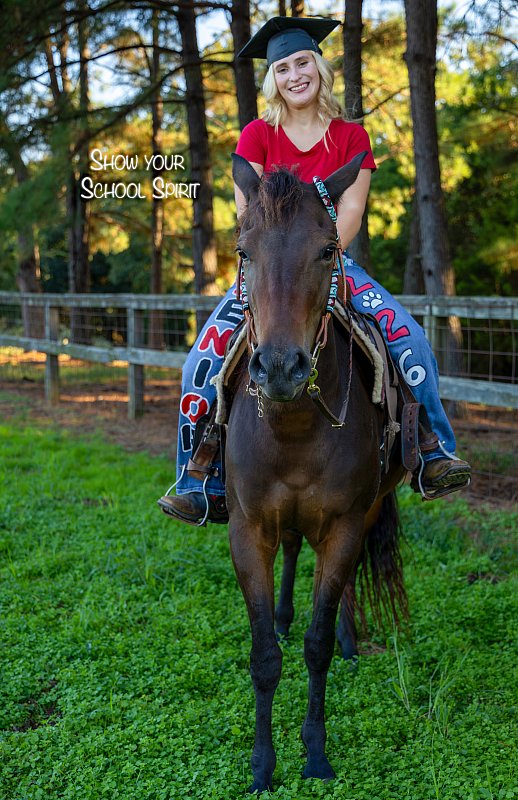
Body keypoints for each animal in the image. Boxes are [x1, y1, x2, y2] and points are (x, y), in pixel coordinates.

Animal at [226, 152, 407, 793]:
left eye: (329, 249)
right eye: (244, 250)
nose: (280, 367)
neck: (295, 428)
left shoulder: (346, 524)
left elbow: (317, 643)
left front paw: (316, 756)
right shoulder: (247, 530)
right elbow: (264, 656)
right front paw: (261, 767)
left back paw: (353, 641)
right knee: (290, 551)